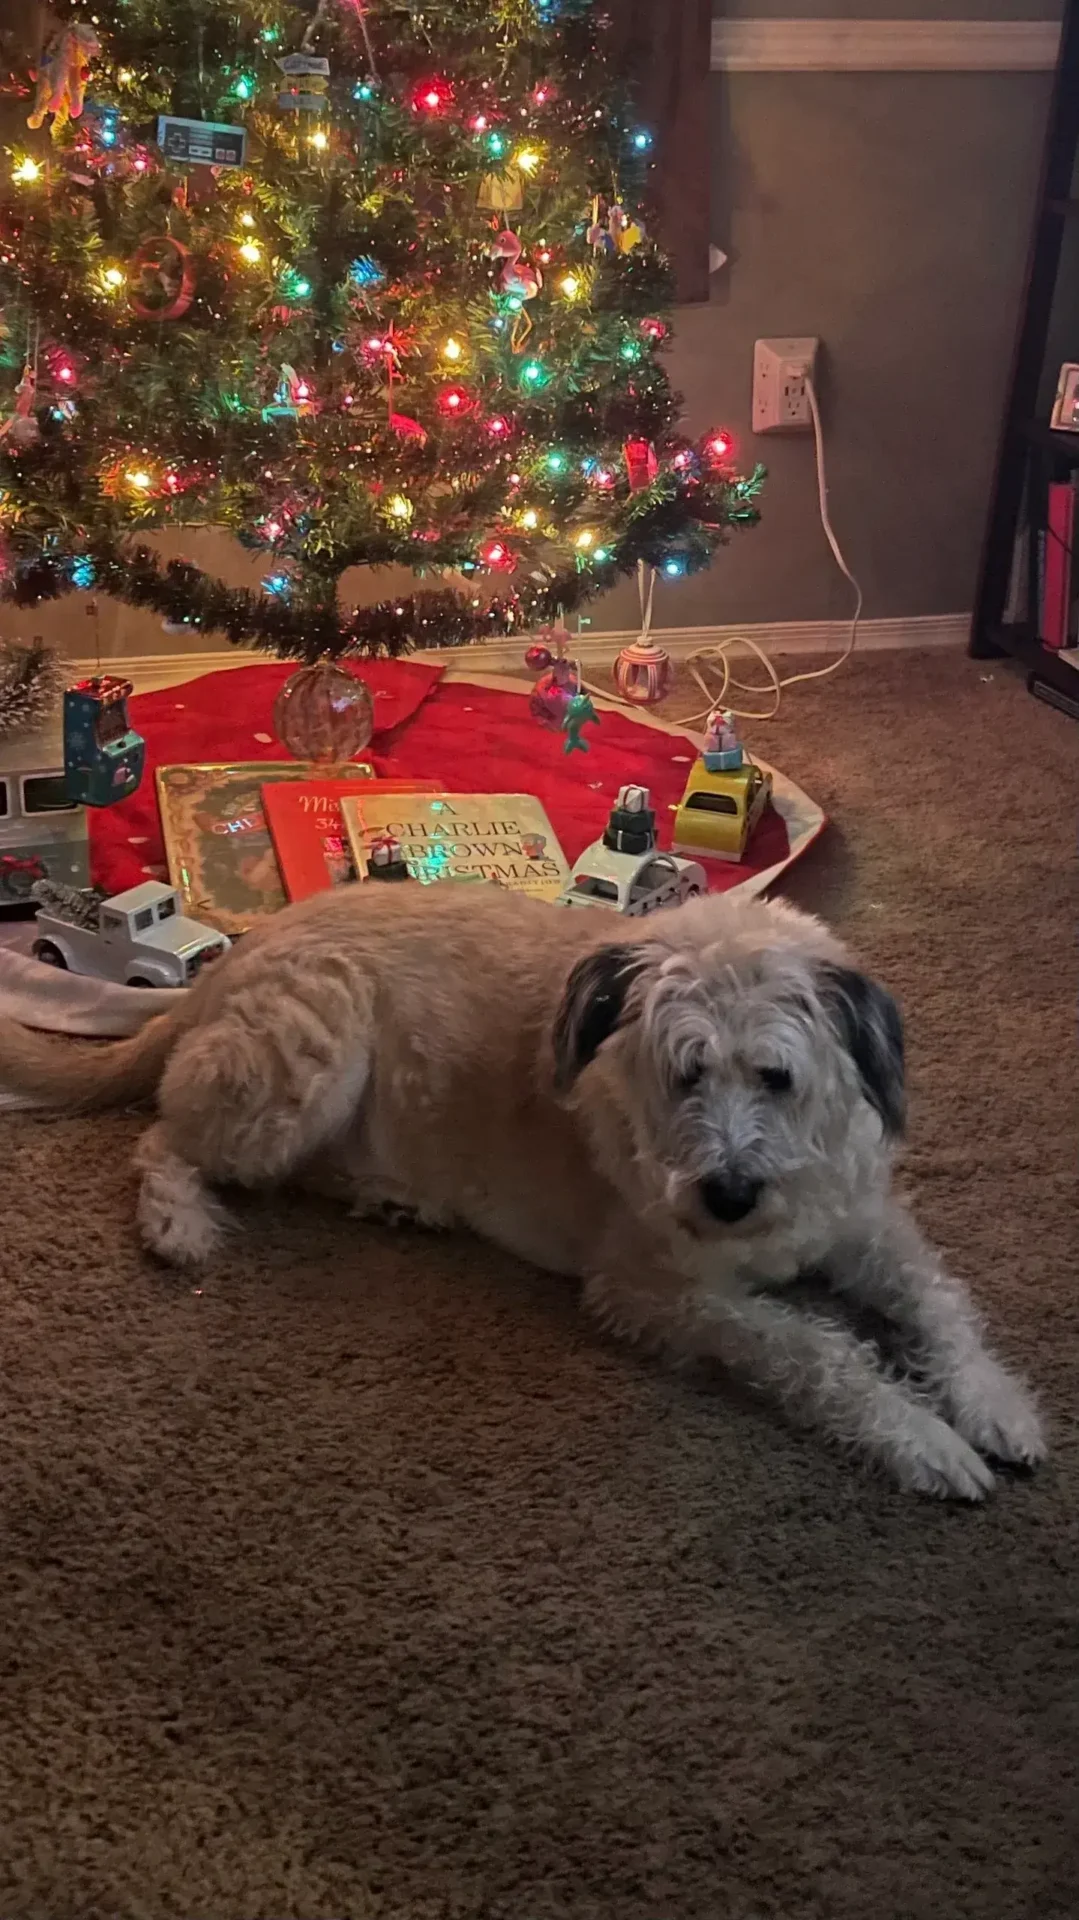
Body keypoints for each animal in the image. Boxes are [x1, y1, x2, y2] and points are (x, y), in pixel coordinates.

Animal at [0, 883, 1044, 1497]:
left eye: (775, 1077)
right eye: (685, 1073)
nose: (724, 1199)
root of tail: (217, 971)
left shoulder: (864, 1224)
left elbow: (941, 1304)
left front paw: (994, 1407)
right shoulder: (654, 1291)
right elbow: (816, 1351)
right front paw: (920, 1438)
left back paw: (396, 1199)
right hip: (304, 1068)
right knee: (162, 1135)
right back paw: (178, 1219)